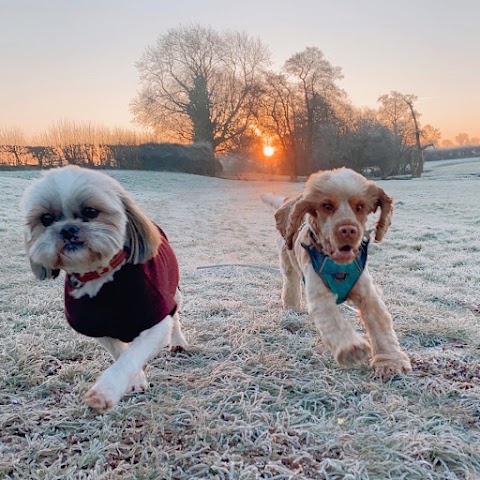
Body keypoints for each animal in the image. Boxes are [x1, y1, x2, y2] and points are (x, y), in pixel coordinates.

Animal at [22, 166, 188, 412]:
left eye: (91, 211)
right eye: (46, 219)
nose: (67, 229)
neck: (100, 277)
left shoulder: (156, 321)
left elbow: (132, 354)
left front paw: (106, 390)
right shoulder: (98, 328)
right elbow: (121, 353)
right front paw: (136, 381)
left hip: (174, 293)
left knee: (175, 317)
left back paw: (178, 342)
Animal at [262, 169, 412, 378]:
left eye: (360, 206)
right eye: (327, 206)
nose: (348, 229)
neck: (339, 266)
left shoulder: (367, 293)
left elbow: (380, 323)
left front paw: (390, 362)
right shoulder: (319, 295)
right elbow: (333, 322)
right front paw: (352, 349)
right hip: (287, 261)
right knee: (290, 283)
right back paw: (291, 308)